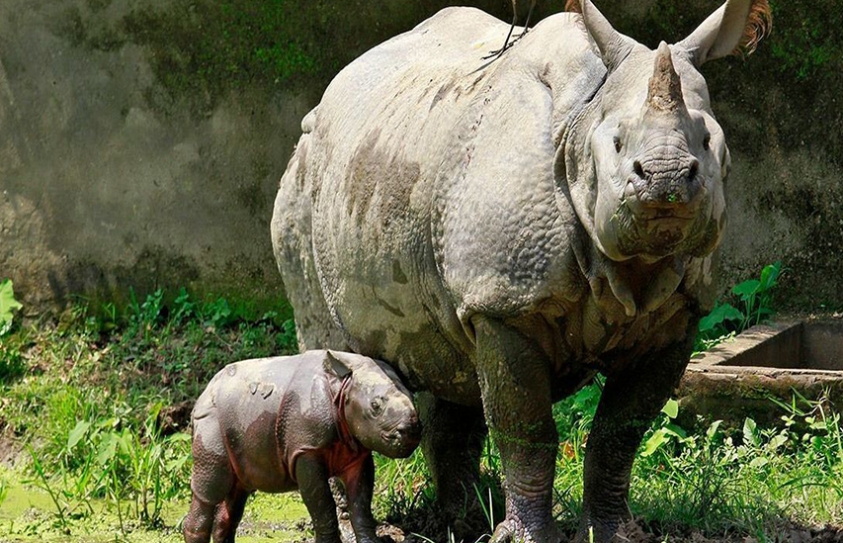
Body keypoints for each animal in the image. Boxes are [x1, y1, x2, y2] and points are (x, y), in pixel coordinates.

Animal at [271, 1, 770, 541]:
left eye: (708, 140)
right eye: (616, 143)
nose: (666, 177)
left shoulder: (679, 316)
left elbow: (620, 432)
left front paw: (615, 533)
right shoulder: (506, 304)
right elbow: (526, 428)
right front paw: (526, 537)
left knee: (453, 364)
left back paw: (464, 518)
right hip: (302, 184)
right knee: (332, 346)